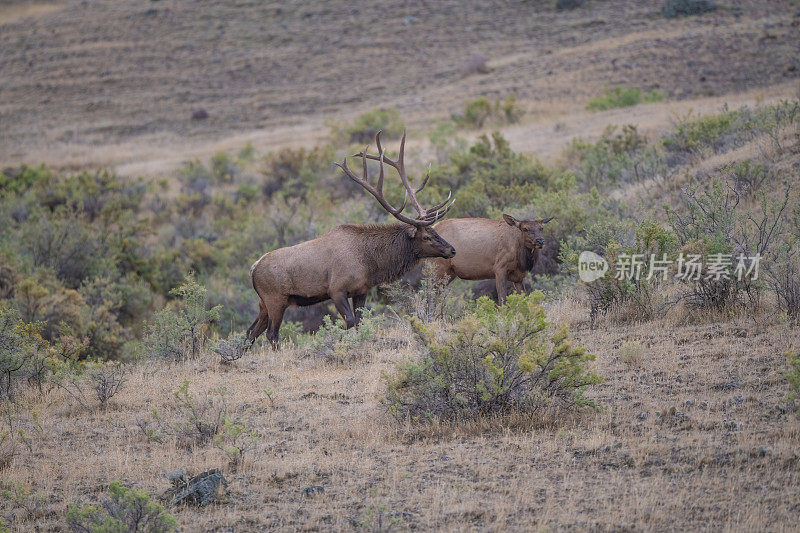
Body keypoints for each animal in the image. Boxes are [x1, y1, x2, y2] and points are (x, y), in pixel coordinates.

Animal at [244, 131, 456, 348]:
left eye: (434, 231)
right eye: (427, 236)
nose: (452, 250)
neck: (370, 264)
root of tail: (253, 268)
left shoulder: (361, 290)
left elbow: (360, 323)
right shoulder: (336, 289)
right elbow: (350, 322)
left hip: (264, 303)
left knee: (250, 332)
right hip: (275, 299)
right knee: (271, 334)